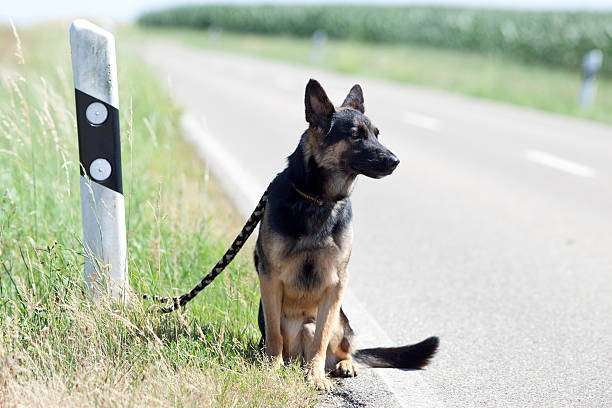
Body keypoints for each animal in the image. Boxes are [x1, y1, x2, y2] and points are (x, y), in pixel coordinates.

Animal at [253, 78, 440, 390]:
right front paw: (271, 368)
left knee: (340, 347)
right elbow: (275, 336)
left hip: (341, 322)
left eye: (377, 134)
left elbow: (320, 339)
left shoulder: (337, 283)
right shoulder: (269, 276)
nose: (395, 161)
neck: (319, 199)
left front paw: (316, 376)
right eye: (355, 135)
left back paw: (343, 364)